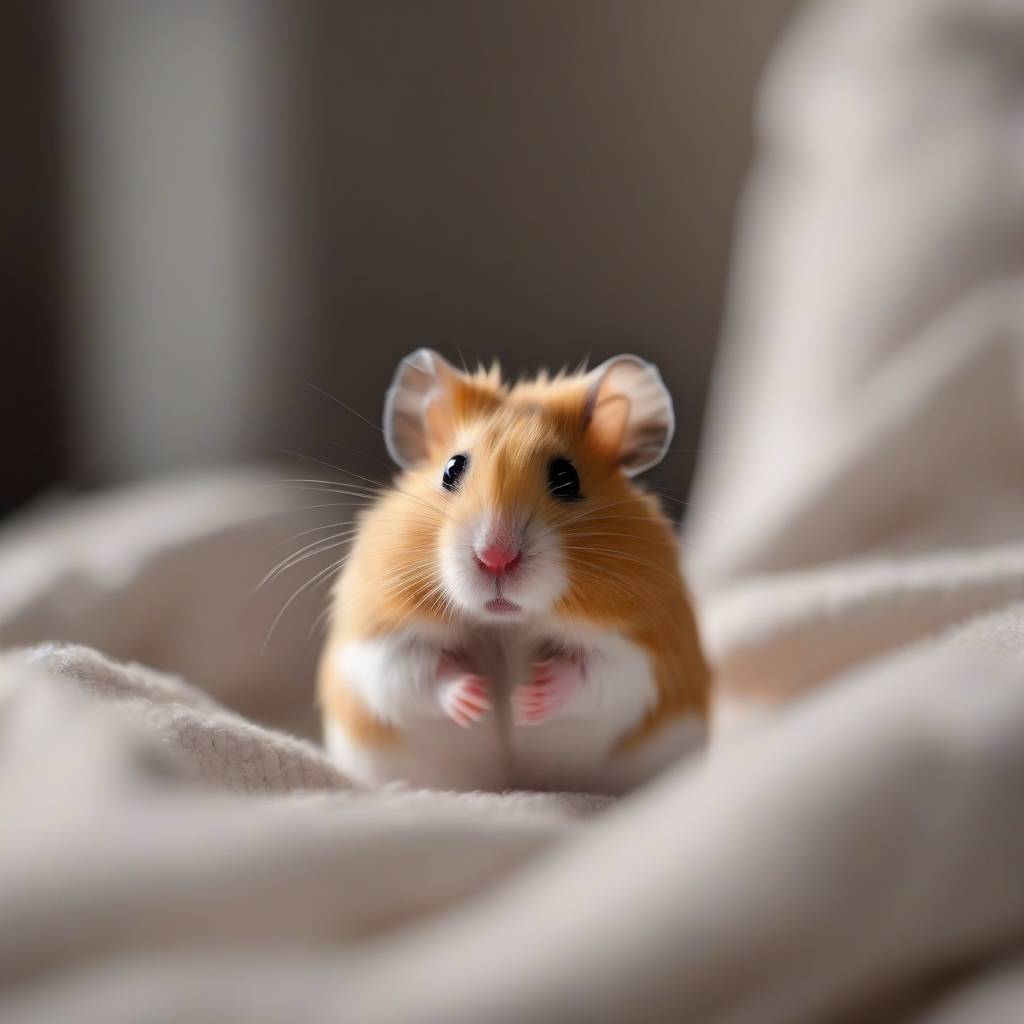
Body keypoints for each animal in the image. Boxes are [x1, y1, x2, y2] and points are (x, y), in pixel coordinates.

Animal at [317, 349, 709, 794]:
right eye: (451, 469)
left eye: (567, 478)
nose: (495, 558)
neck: (505, 625)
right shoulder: (379, 641)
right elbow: (416, 673)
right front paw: (479, 699)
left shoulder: (639, 654)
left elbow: (595, 676)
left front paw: (527, 700)